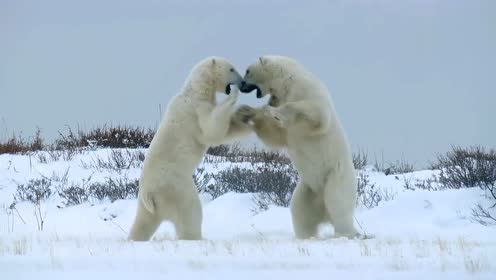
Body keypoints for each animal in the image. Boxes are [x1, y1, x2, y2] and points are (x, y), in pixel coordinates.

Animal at [129, 57, 252, 241]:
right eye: (231, 69)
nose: (242, 82)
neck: (196, 91)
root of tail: (148, 194)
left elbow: (226, 130)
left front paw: (250, 118)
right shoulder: (195, 110)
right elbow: (212, 130)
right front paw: (234, 96)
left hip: (148, 205)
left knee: (143, 223)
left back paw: (133, 239)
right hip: (176, 186)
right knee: (190, 212)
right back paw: (195, 238)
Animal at [238, 56, 362, 238]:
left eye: (247, 71)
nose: (241, 85)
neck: (287, 82)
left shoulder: (308, 91)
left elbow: (316, 113)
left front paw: (274, 112)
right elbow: (276, 135)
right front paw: (247, 111)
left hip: (336, 176)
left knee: (338, 203)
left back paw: (346, 233)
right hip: (308, 188)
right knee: (300, 209)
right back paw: (305, 236)